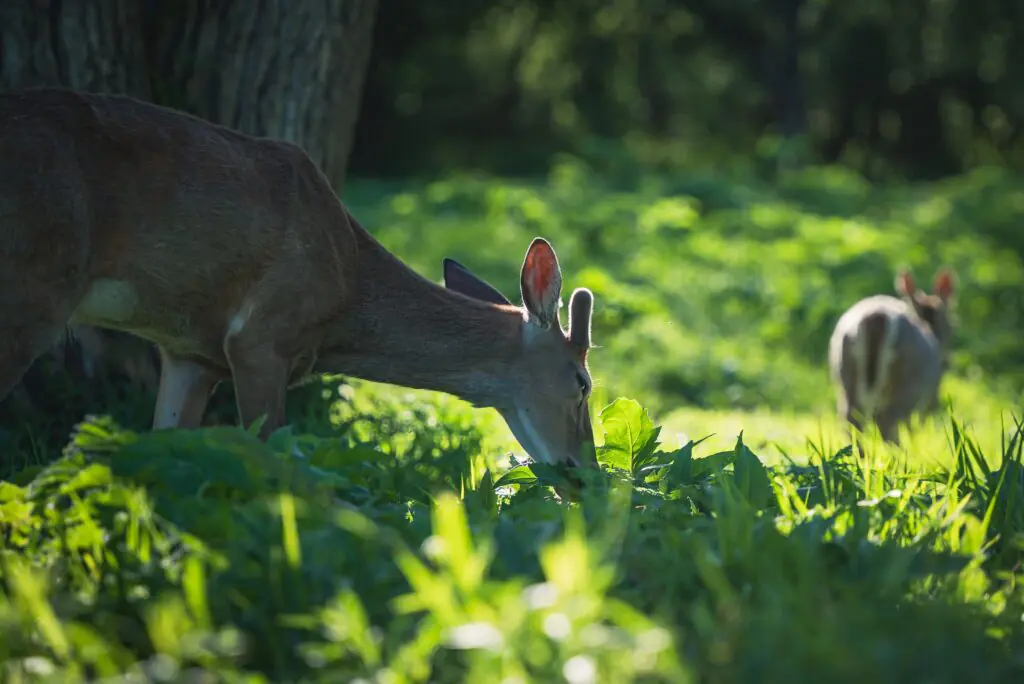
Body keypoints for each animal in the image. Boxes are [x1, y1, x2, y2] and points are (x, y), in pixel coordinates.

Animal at [0, 87, 598, 470]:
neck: (346, 292)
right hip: (31, 283)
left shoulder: (191, 353)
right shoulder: (260, 336)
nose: (584, 475)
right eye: (582, 382)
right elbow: (273, 456)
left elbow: (165, 444)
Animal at [828, 268, 956, 445]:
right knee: (888, 422)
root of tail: (876, 316)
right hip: (908, 380)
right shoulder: (930, 396)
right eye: (949, 320)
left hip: (844, 370)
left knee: (851, 419)